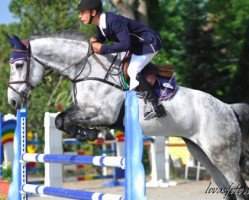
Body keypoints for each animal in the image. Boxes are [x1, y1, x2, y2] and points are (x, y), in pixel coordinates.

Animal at [6, 30, 249, 199]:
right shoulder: (84, 109)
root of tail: (228, 108)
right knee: (227, 189)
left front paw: (90, 133)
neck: (87, 70)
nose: (13, 101)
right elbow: (60, 119)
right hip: (203, 155)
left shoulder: (104, 113)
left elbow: (65, 120)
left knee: (239, 188)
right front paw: (87, 134)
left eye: (19, 65)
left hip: (222, 154)